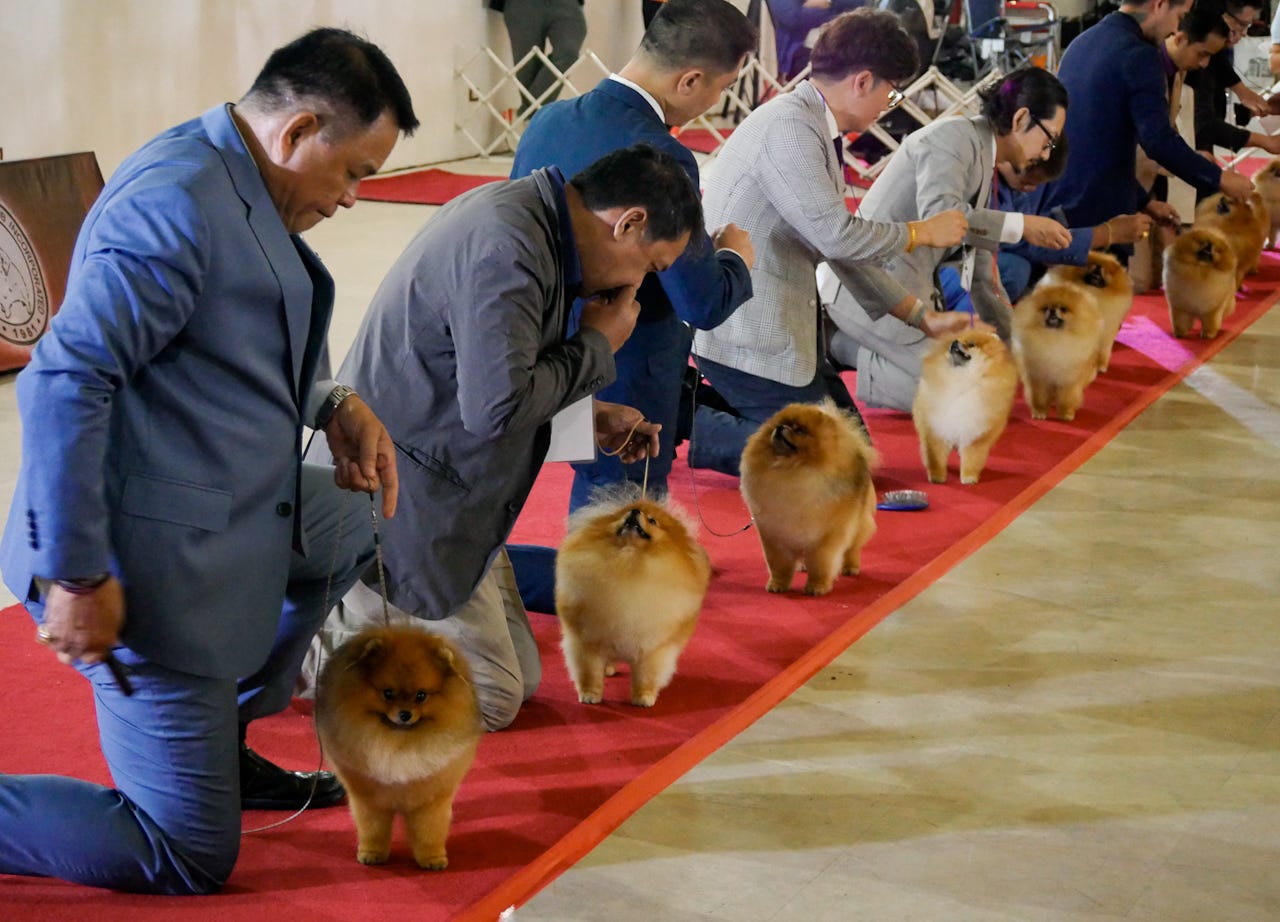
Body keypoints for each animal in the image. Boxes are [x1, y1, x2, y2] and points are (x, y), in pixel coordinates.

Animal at [314, 622, 481, 865]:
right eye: (388, 693)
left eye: (421, 696)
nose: (405, 714)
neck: (398, 743)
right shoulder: (369, 798)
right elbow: (373, 829)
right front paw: (372, 853)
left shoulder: (432, 799)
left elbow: (430, 830)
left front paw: (432, 857)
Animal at [555, 494, 711, 711]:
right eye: (623, 514)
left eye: (653, 521)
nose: (635, 511)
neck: (629, 560)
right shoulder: (587, 640)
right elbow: (590, 672)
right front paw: (590, 694)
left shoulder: (652, 648)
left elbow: (646, 676)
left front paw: (643, 697)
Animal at [742, 399, 880, 594]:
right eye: (778, 424)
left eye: (800, 430)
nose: (780, 427)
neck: (790, 469)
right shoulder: (775, 536)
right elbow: (778, 565)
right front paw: (777, 584)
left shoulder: (825, 539)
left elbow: (820, 564)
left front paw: (817, 587)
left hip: (859, 523)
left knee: (852, 547)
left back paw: (850, 567)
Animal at [911, 330, 1018, 486]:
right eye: (956, 340)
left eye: (971, 344)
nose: (954, 342)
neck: (963, 379)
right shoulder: (937, 427)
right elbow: (936, 454)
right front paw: (937, 476)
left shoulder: (975, 433)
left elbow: (972, 458)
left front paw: (969, 477)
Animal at [1013, 283, 1105, 422]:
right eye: (1045, 308)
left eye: (1063, 309)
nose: (1052, 310)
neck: (1055, 338)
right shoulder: (1039, 376)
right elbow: (1039, 396)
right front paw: (1039, 411)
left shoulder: (1069, 378)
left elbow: (1067, 397)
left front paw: (1066, 413)